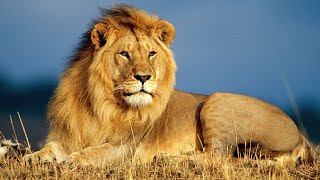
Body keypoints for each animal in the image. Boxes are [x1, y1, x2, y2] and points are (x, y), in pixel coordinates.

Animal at [23, 4, 318, 167]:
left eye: (151, 53)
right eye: (124, 54)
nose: (144, 77)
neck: (101, 103)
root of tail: (300, 135)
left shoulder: (128, 147)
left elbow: (98, 151)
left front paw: (77, 159)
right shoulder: (67, 135)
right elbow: (51, 149)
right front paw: (32, 157)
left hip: (217, 101)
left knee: (217, 156)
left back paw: (170, 159)